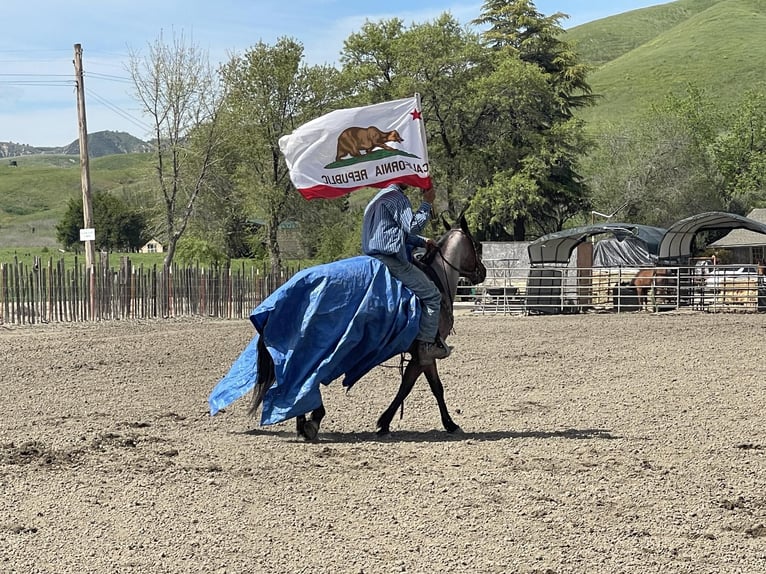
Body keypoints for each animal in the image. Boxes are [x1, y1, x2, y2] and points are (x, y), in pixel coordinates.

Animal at [248, 214, 486, 444]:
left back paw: (305, 425)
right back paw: (311, 421)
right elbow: (420, 387)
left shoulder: (420, 355)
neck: (437, 278)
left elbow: (420, 386)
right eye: (477, 245)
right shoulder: (424, 354)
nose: (482, 272)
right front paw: (446, 424)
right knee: (299, 383)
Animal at [280, 94, 432, 200]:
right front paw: (391, 149)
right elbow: (379, 144)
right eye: (398, 135)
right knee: (349, 151)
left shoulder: (371, 142)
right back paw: (353, 157)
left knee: (342, 153)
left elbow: (371, 148)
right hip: (348, 140)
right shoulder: (372, 137)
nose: (402, 139)